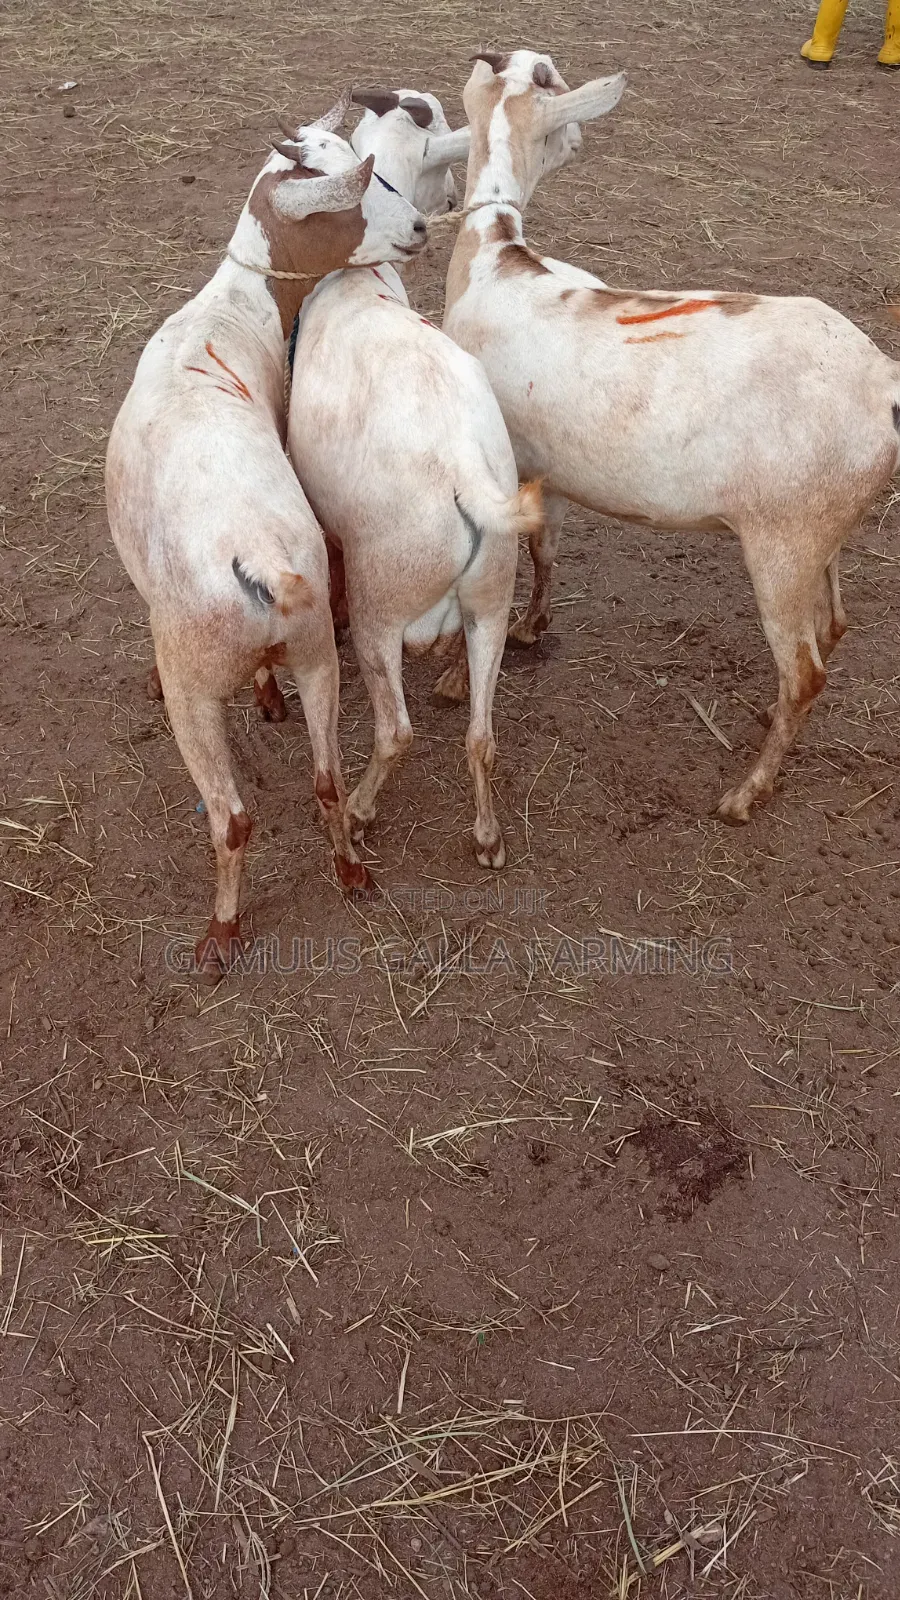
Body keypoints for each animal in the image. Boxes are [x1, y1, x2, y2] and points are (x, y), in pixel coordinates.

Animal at [105, 93, 427, 974]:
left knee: (234, 818)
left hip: (197, 689)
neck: (225, 312)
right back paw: (351, 871)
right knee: (325, 780)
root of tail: (266, 571)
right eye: (359, 190)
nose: (422, 228)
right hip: (321, 654)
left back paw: (220, 935)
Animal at [286, 90, 541, 869]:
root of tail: (465, 475)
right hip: (491, 601)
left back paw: (362, 811)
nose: (445, 206)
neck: (357, 283)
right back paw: (487, 836)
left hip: (385, 611)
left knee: (395, 731)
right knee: (482, 736)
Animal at [444, 51, 900, 824]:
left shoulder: (501, 463)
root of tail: (883, 380)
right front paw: (534, 625)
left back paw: (745, 793)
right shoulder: (546, 468)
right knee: (835, 623)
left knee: (804, 672)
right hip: (820, 524)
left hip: (781, 543)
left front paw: (454, 673)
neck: (494, 260)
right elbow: (546, 550)